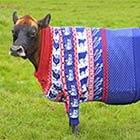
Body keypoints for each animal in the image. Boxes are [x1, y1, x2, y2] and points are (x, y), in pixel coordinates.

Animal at [9, 11, 140, 134]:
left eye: (33, 32)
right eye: (13, 31)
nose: (15, 49)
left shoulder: (73, 91)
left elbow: (73, 116)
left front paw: (76, 133)